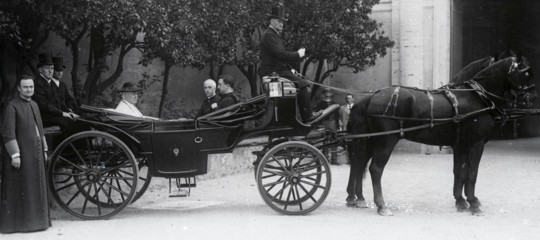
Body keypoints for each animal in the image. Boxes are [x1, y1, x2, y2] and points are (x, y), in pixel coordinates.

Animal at [346, 56, 536, 216]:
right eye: (525, 73)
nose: (531, 98)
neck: (476, 96)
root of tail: (370, 97)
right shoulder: (476, 143)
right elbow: (472, 172)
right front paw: (473, 203)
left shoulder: (460, 145)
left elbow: (460, 171)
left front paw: (461, 201)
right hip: (385, 141)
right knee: (375, 169)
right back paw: (381, 205)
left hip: (371, 141)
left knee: (358, 163)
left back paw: (357, 199)